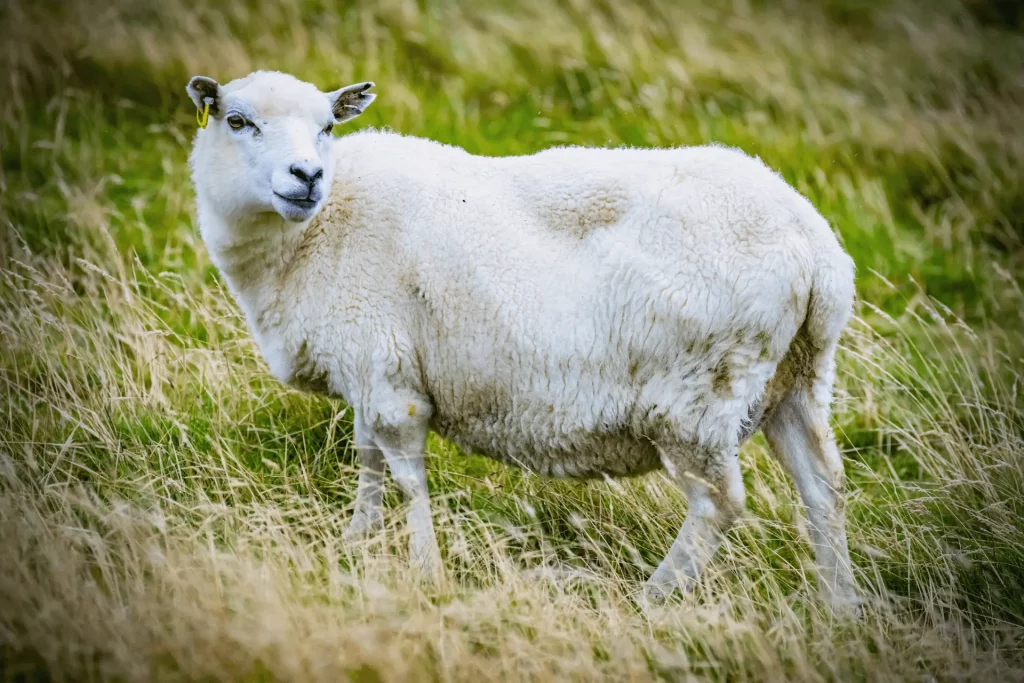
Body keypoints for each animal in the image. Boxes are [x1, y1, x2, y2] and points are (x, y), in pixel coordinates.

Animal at [188, 70, 860, 614]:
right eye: (237, 121)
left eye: (328, 126)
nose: (306, 176)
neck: (317, 231)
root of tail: (814, 248)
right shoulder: (366, 363)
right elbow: (368, 459)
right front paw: (358, 541)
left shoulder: (387, 376)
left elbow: (404, 472)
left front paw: (424, 572)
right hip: (797, 376)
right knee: (822, 485)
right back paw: (842, 608)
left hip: (697, 396)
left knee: (720, 504)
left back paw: (649, 602)